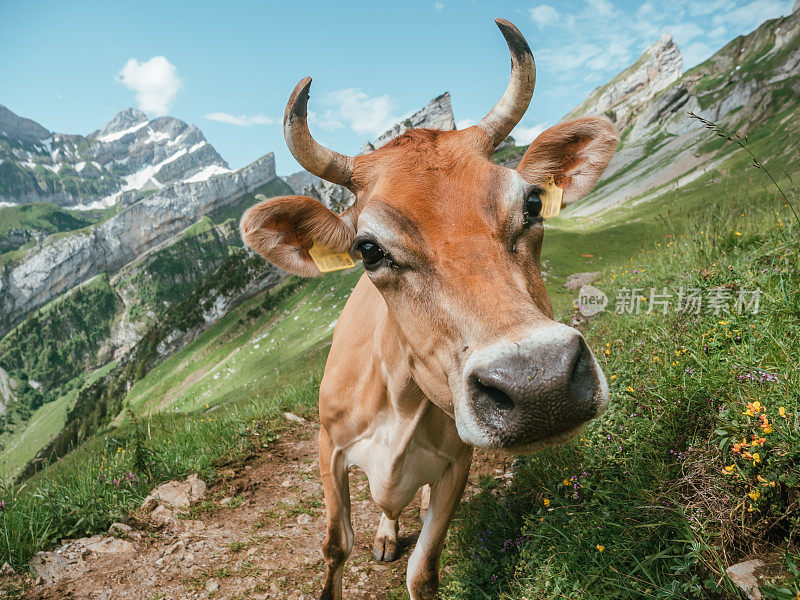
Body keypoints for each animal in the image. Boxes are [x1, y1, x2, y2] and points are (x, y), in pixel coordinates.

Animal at [241, 18, 616, 600]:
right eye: (368, 249)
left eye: (532, 203)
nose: (541, 383)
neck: (397, 398)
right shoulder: (327, 446)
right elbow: (335, 546)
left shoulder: (458, 462)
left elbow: (425, 567)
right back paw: (386, 533)